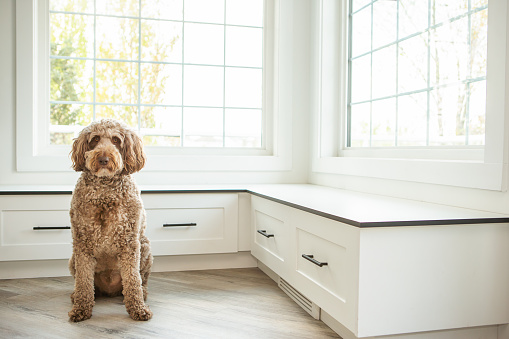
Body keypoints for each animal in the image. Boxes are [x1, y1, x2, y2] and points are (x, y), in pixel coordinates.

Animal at [68, 120, 154, 324]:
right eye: (95, 139)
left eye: (116, 140)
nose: (103, 159)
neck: (105, 192)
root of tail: (110, 290)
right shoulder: (82, 242)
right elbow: (83, 280)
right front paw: (81, 309)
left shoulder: (130, 243)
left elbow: (133, 279)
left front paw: (138, 309)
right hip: (72, 259)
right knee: (85, 284)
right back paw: (77, 295)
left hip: (145, 246)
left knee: (141, 279)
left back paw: (143, 293)